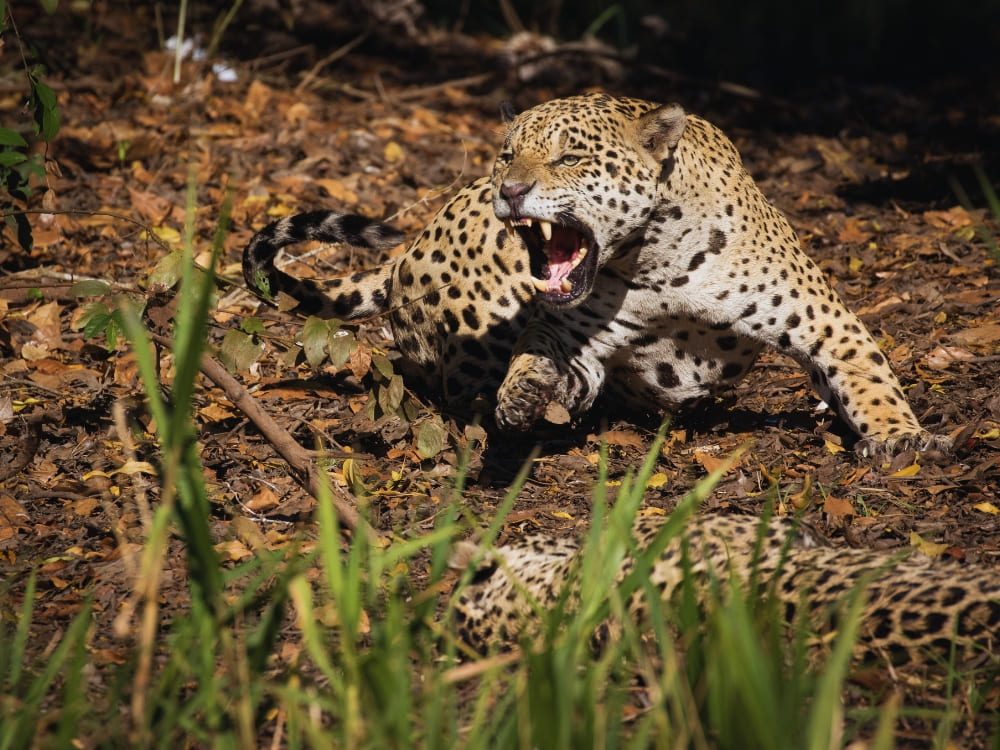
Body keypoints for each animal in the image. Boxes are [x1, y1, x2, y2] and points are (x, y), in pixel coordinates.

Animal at [243, 92, 949, 456]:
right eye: (507, 154)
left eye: (570, 157)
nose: (510, 189)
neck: (657, 261)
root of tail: (406, 248)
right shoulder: (573, 339)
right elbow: (539, 353)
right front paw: (525, 390)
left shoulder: (824, 320)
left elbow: (869, 380)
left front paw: (898, 438)